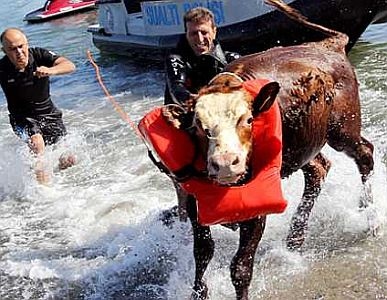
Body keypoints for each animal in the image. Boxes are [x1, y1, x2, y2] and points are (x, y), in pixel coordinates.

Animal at [161, 0, 376, 298]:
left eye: (249, 120)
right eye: (197, 126)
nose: (226, 162)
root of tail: (329, 45)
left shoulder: (258, 203)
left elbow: (240, 267)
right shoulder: (194, 203)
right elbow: (202, 251)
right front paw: (198, 292)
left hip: (343, 130)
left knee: (365, 154)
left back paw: (369, 215)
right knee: (318, 169)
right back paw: (295, 239)